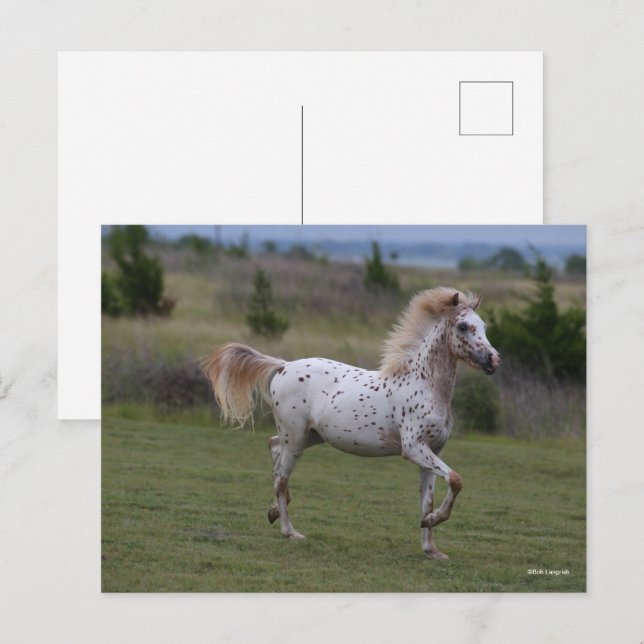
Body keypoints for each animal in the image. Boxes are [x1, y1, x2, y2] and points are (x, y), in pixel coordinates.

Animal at [202, 287, 500, 559]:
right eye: (463, 326)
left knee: (273, 449)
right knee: (281, 479)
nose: (493, 360)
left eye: (483, 326)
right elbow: (456, 480)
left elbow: (428, 500)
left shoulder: (433, 451)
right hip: (296, 438)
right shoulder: (414, 448)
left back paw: (274, 511)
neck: (424, 385)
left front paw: (431, 548)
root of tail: (284, 366)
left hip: (309, 436)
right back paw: (290, 531)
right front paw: (432, 525)